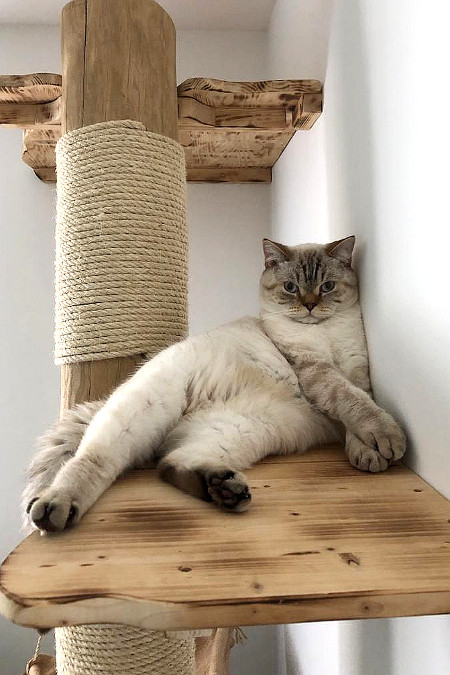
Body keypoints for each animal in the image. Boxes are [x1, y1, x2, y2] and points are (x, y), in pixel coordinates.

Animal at [24, 235, 406, 533]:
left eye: (327, 287)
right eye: (291, 288)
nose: (310, 305)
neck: (323, 333)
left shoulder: (357, 373)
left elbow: (360, 412)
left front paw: (369, 454)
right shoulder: (317, 372)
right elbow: (357, 408)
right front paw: (387, 444)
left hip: (241, 428)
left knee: (169, 462)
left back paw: (224, 489)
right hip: (141, 411)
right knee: (93, 461)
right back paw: (55, 510)